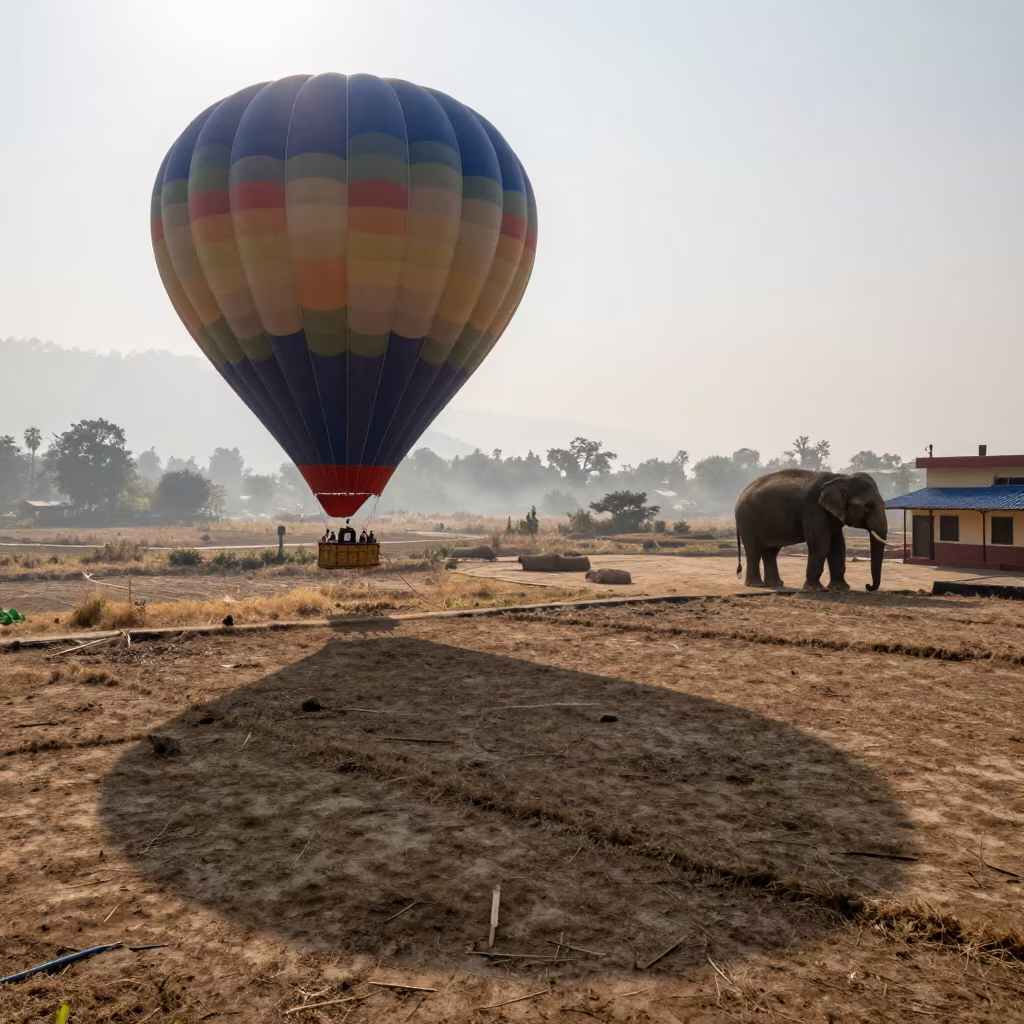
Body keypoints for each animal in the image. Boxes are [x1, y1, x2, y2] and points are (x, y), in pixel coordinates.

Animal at [734, 470, 888, 593]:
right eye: (867, 507)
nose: (868, 586)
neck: (841, 477)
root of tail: (740, 496)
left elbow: (838, 545)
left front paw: (841, 589)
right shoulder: (814, 509)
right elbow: (821, 543)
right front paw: (815, 589)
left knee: (771, 551)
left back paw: (776, 584)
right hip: (747, 520)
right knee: (753, 551)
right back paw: (756, 585)